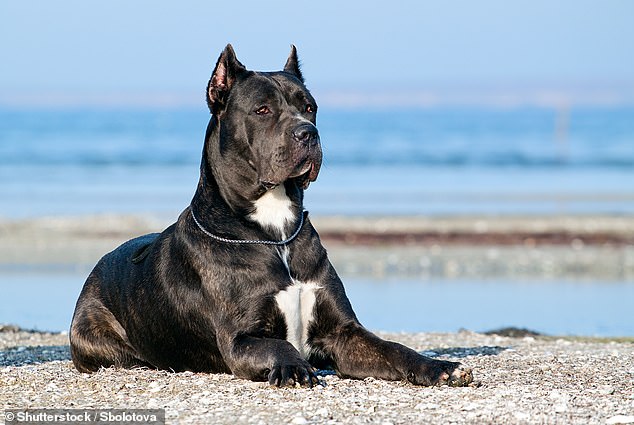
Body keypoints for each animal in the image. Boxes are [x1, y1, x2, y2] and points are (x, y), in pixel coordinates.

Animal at [71, 44, 472, 386]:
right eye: (261, 110)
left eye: (309, 107)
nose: (308, 133)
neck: (275, 230)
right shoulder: (241, 338)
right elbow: (279, 345)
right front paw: (295, 367)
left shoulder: (344, 332)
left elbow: (393, 348)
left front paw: (439, 367)